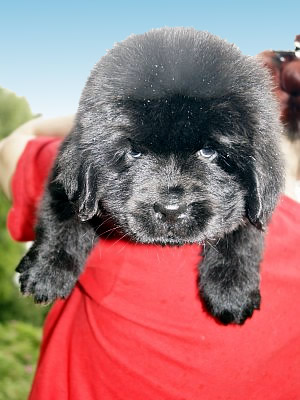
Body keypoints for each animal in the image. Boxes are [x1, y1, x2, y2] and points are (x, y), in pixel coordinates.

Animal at [17, 27, 284, 324]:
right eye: (134, 152)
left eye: (209, 152)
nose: (171, 210)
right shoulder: (65, 175)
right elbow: (63, 214)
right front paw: (47, 270)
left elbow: (245, 228)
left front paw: (232, 289)